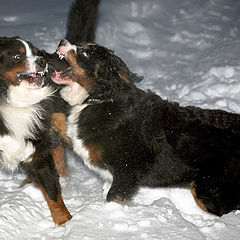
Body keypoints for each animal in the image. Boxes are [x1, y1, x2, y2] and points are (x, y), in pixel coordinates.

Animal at [51, 40, 240, 217]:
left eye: (85, 53)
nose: (62, 41)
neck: (101, 98)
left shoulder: (126, 171)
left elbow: (113, 197)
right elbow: (58, 118)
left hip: (206, 190)